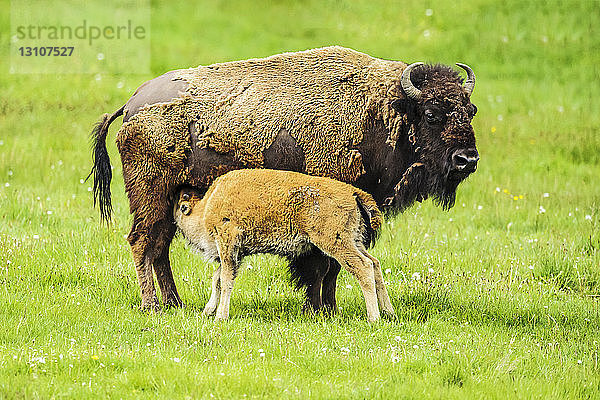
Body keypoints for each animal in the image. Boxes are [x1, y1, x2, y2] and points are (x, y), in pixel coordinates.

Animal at [89, 44, 480, 312]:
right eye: (432, 113)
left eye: (470, 110)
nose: (468, 159)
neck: (382, 109)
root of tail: (132, 104)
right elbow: (323, 265)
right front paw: (318, 309)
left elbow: (334, 267)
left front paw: (328, 309)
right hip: (149, 193)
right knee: (143, 241)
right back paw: (153, 306)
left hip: (171, 197)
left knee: (160, 246)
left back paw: (175, 303)